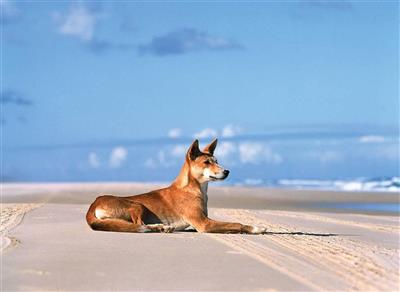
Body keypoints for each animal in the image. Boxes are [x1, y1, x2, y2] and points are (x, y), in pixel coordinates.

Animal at [86, 140, 266, 235]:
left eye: (217, 161)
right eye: (207, 162)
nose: (227, 171)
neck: (193, 189)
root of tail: (92, 205)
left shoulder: (199, 223)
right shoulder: (204, 224)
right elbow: (236, 223)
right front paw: (256, 227)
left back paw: (163, 226)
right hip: (137, 205)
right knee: (139, 224)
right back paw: (161, 227)